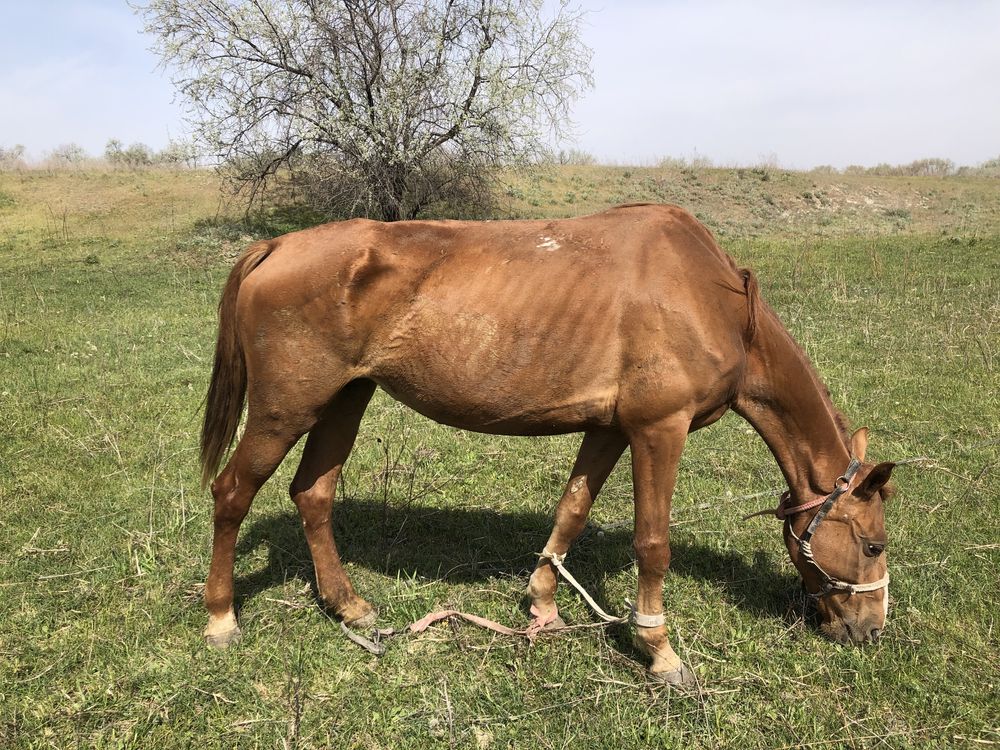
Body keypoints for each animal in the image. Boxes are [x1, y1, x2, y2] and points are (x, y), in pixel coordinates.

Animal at [199, 203, 896, 684]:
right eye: (872, 545)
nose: (870, 631)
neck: (711, 299)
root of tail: (277, 245)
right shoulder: (658, 430)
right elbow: (653, 544)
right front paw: (659, 650)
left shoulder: (609, 428)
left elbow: (572, 511)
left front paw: (542, 605)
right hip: (286, 409)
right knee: (232, 492)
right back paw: (221, 618)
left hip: (345, 399)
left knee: (312, 494)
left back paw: (349, 608)